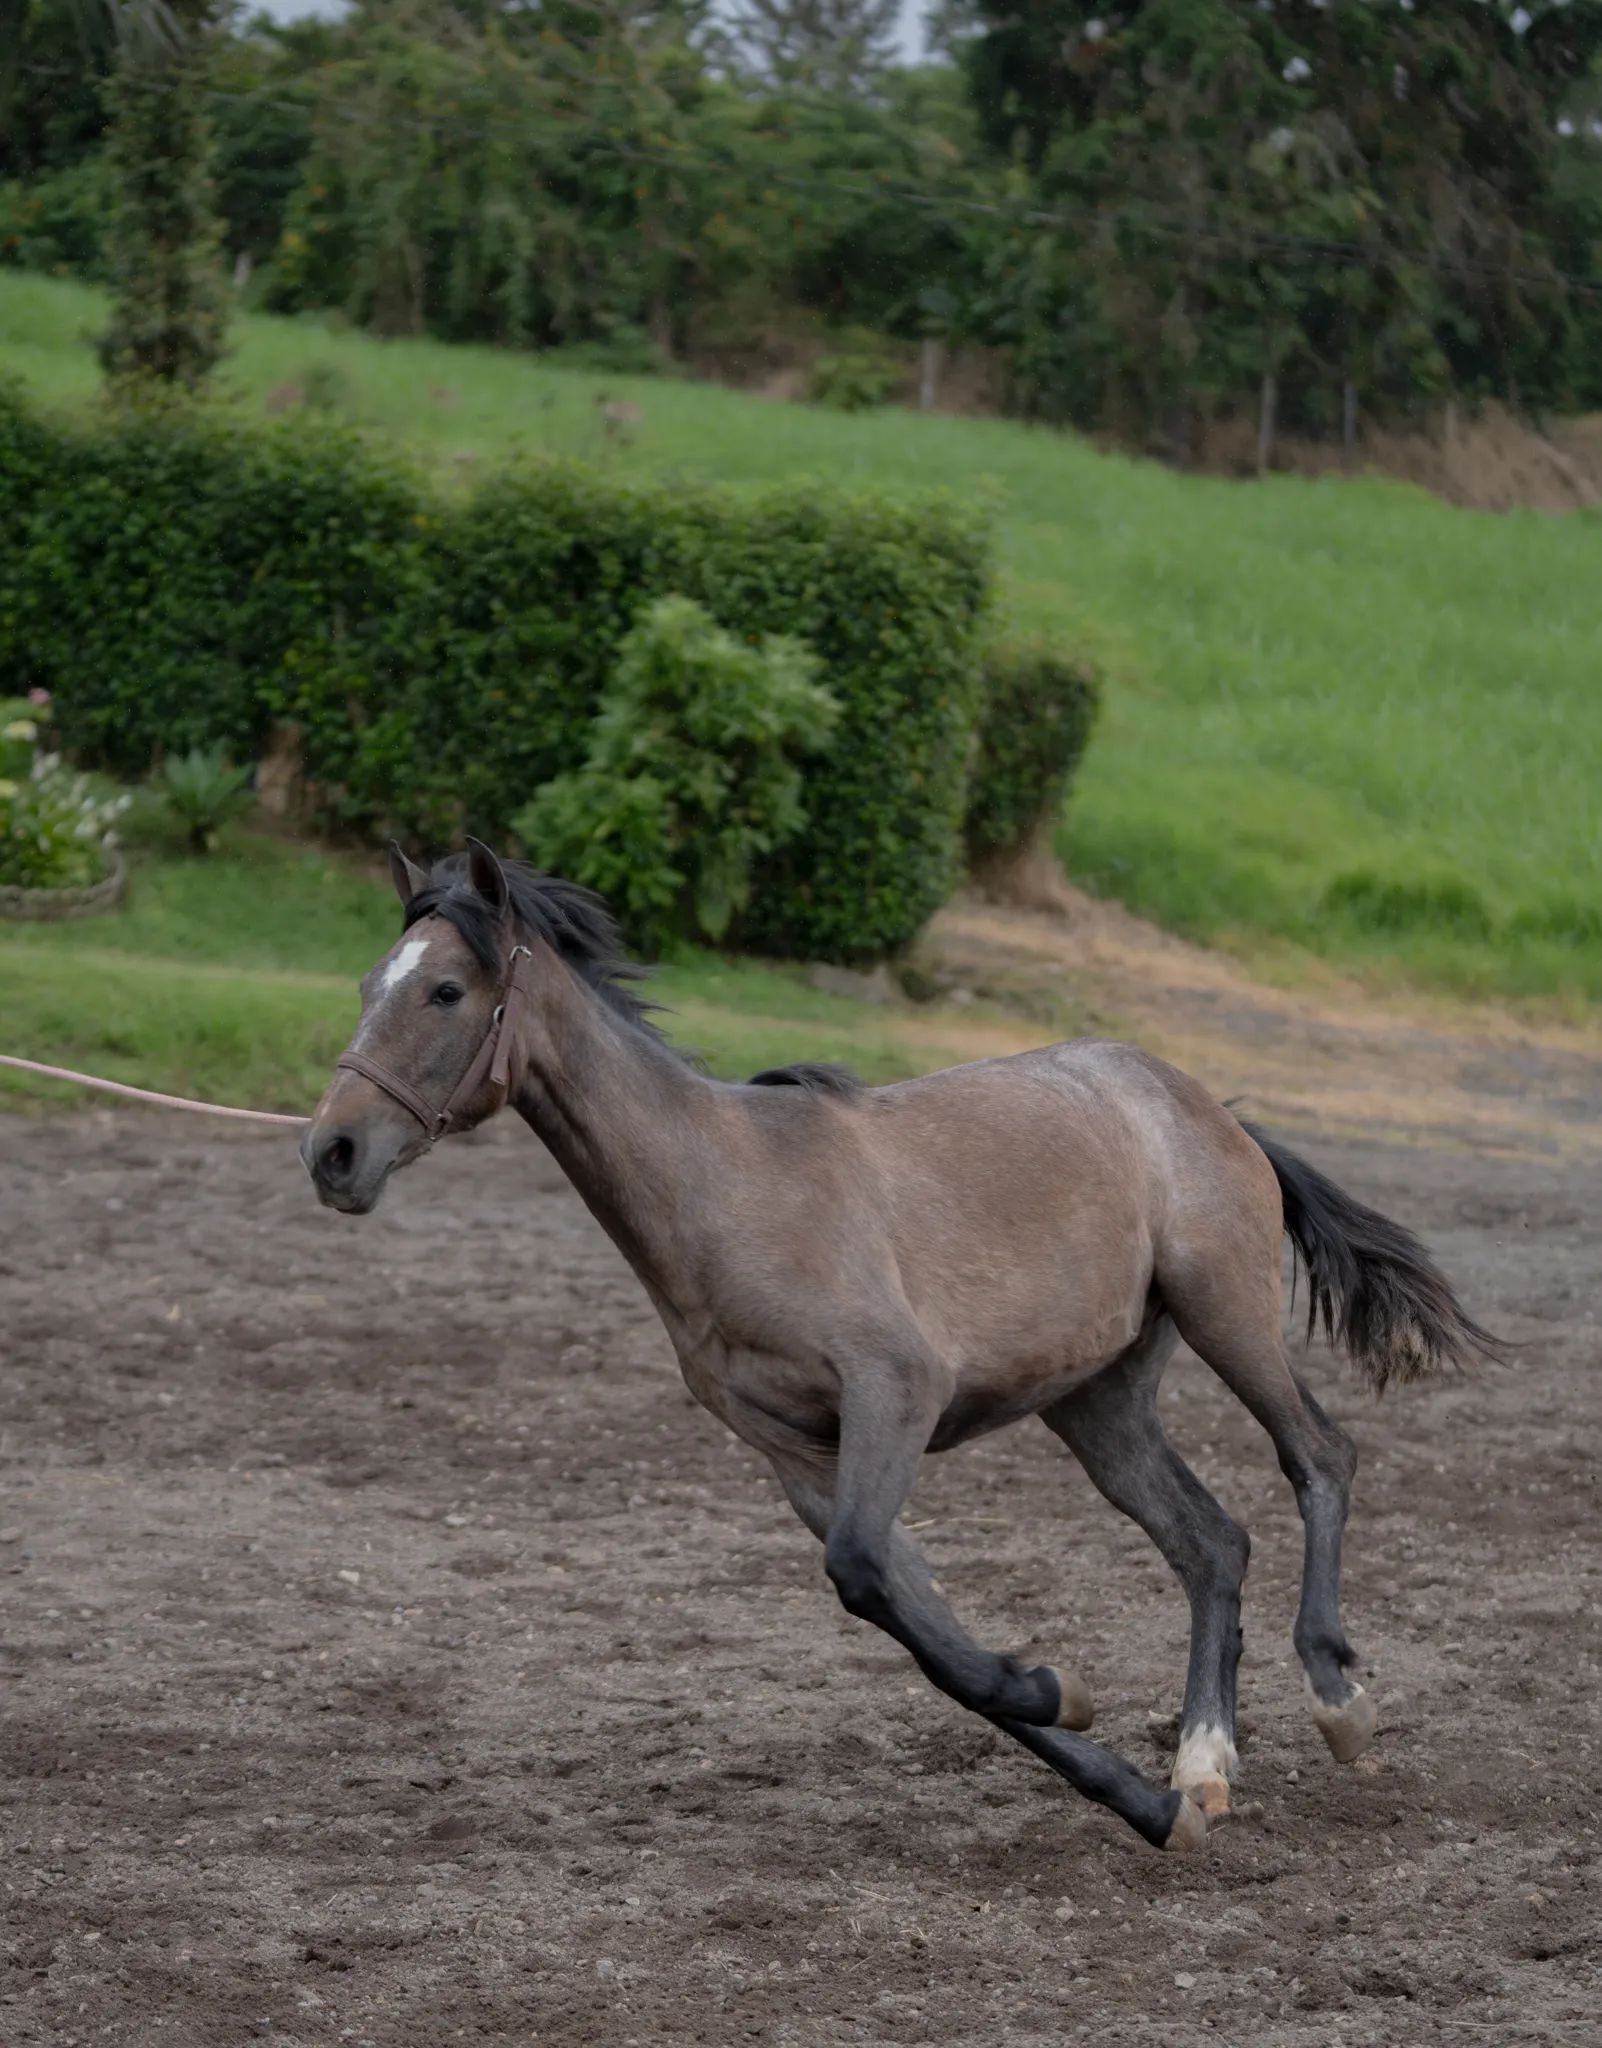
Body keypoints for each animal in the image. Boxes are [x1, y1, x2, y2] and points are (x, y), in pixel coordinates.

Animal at [301, 840, 1502, 1853]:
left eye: (445, 991)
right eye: (366, 986)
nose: (334, 1153)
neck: (726, 1189)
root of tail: (1212, 1105)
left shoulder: (896, 1391)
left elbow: (870, 1577)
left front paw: (1060, 1689)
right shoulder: (798, 1455)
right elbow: (915, 1622)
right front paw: (1132, 1787)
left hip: (1225, 1310)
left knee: (1321, 1458)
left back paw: (1339, 1703)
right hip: (1098, 1399)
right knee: (1212, 1542)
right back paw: (1202, 1765)